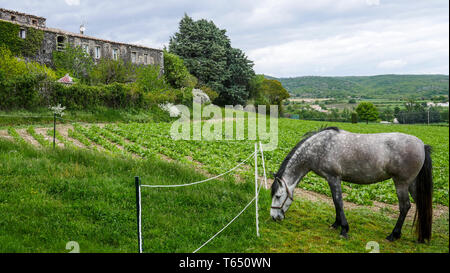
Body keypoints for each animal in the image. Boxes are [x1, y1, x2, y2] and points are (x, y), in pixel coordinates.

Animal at [270, 126, 432, 241]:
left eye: (278, 196)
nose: (274, 217)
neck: (320, 147)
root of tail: (422, 145)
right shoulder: (331, 180)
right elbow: (335, 202)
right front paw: (336, 225)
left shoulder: (334, 178)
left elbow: (338, 201)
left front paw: (344, 229)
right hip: (411, 184)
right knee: (420, 204)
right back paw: (421, 237)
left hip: (401, 183)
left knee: (405, 206)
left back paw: (394, 235)